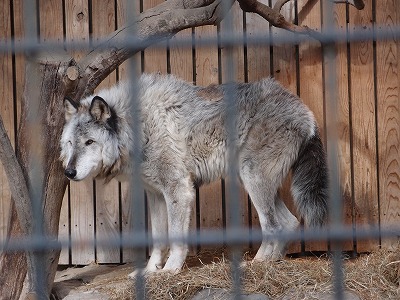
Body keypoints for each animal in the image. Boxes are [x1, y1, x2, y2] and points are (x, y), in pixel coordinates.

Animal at [59, 72, 328, 276]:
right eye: (71, 143)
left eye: (90, 142)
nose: (69, 172)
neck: (136, 129)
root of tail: (306, 111)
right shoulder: (155, 195)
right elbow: (158, 240)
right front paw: (151, 272)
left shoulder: (178, 190)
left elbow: (176, 238)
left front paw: (170, 271)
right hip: (253, 182)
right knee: (289, 222)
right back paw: (274, 263)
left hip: (253, 180)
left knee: (272, 226)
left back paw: (256, 264)